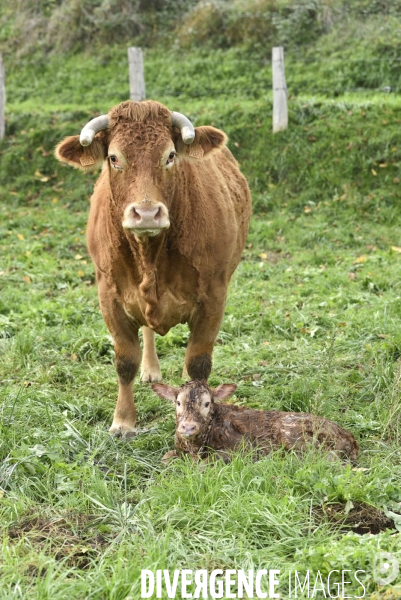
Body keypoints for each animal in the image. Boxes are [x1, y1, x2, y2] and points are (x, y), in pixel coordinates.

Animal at [55, 98, 252, 436]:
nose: (146, 213)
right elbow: (125, 362)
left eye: (170, 155)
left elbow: (198, 363)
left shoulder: (214, 296)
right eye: (113, 158)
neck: (150, 254)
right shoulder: (109, 295)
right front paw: (123, 421)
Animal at [152, 382, 358, 462]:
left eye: (207, 403)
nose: (188, 426)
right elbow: (165, 458)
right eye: (178, 402)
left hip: (290, 433)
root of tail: (349, 437)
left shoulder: (242, 448)